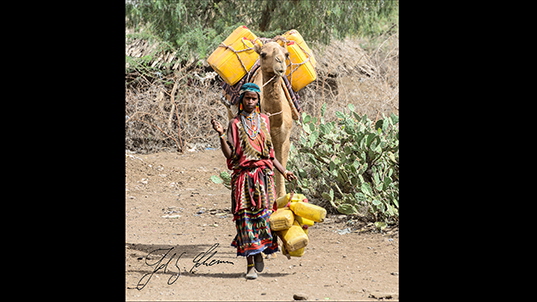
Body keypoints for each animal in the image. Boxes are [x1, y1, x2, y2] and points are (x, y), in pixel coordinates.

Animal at [224, 42, 296, 198]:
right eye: (263, 54)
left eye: (286, 53)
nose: (280, 62)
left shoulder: (284, 138)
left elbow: (280, 165)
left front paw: (281, 196)